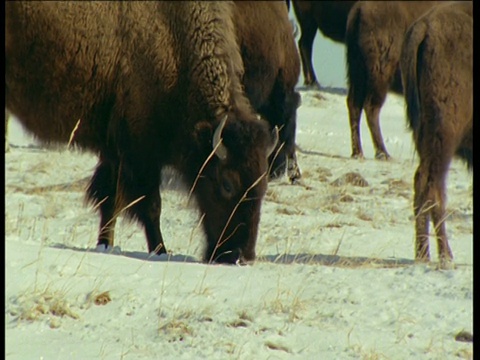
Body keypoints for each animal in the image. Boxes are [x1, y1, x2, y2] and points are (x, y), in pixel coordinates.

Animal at [5, 0, 280, 264]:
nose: (241, 256)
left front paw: (105, 244)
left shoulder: (115, 153)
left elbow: (110, 201)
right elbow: (150, 206)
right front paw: (160, 250)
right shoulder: (140, 155)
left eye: (263, 183)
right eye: (226, 184)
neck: (174, 42)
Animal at [344, 0, 442, 160]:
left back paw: (358, 153)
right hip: (380, 74)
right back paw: (383, 153)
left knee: (354, 104)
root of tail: (360, 9)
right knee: (371, 106)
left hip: (357, 70)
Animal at [400, 0, 474, 268]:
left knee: (422, 185)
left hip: (424, 137)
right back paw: (445, 257)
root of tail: (425, 26)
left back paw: (423, 255)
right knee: (433, 186)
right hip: (444, 137)